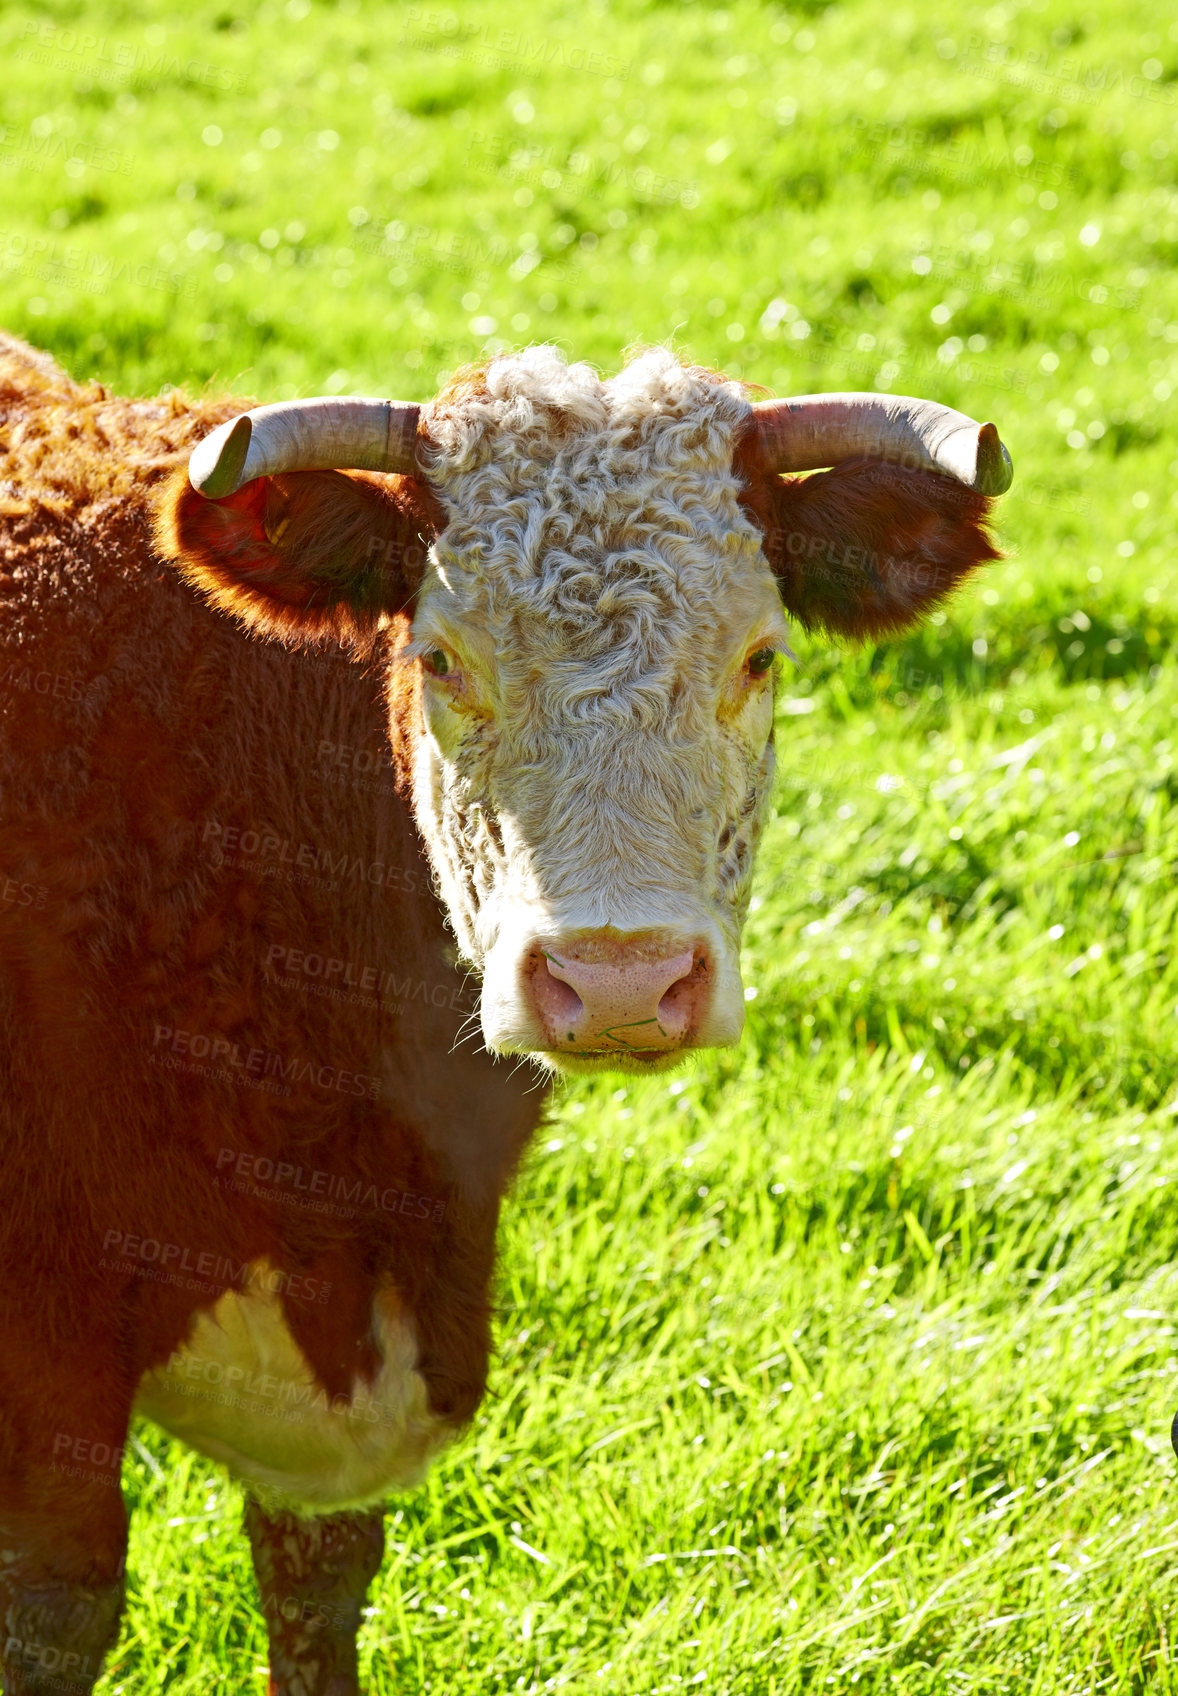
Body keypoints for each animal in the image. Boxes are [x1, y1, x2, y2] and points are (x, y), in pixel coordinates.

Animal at [0, 330, 1010, 1695]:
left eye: (759, 657)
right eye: (441, 659)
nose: (621, 979)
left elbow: (317, 1583)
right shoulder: (46, 1361)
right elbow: (59, 1608)